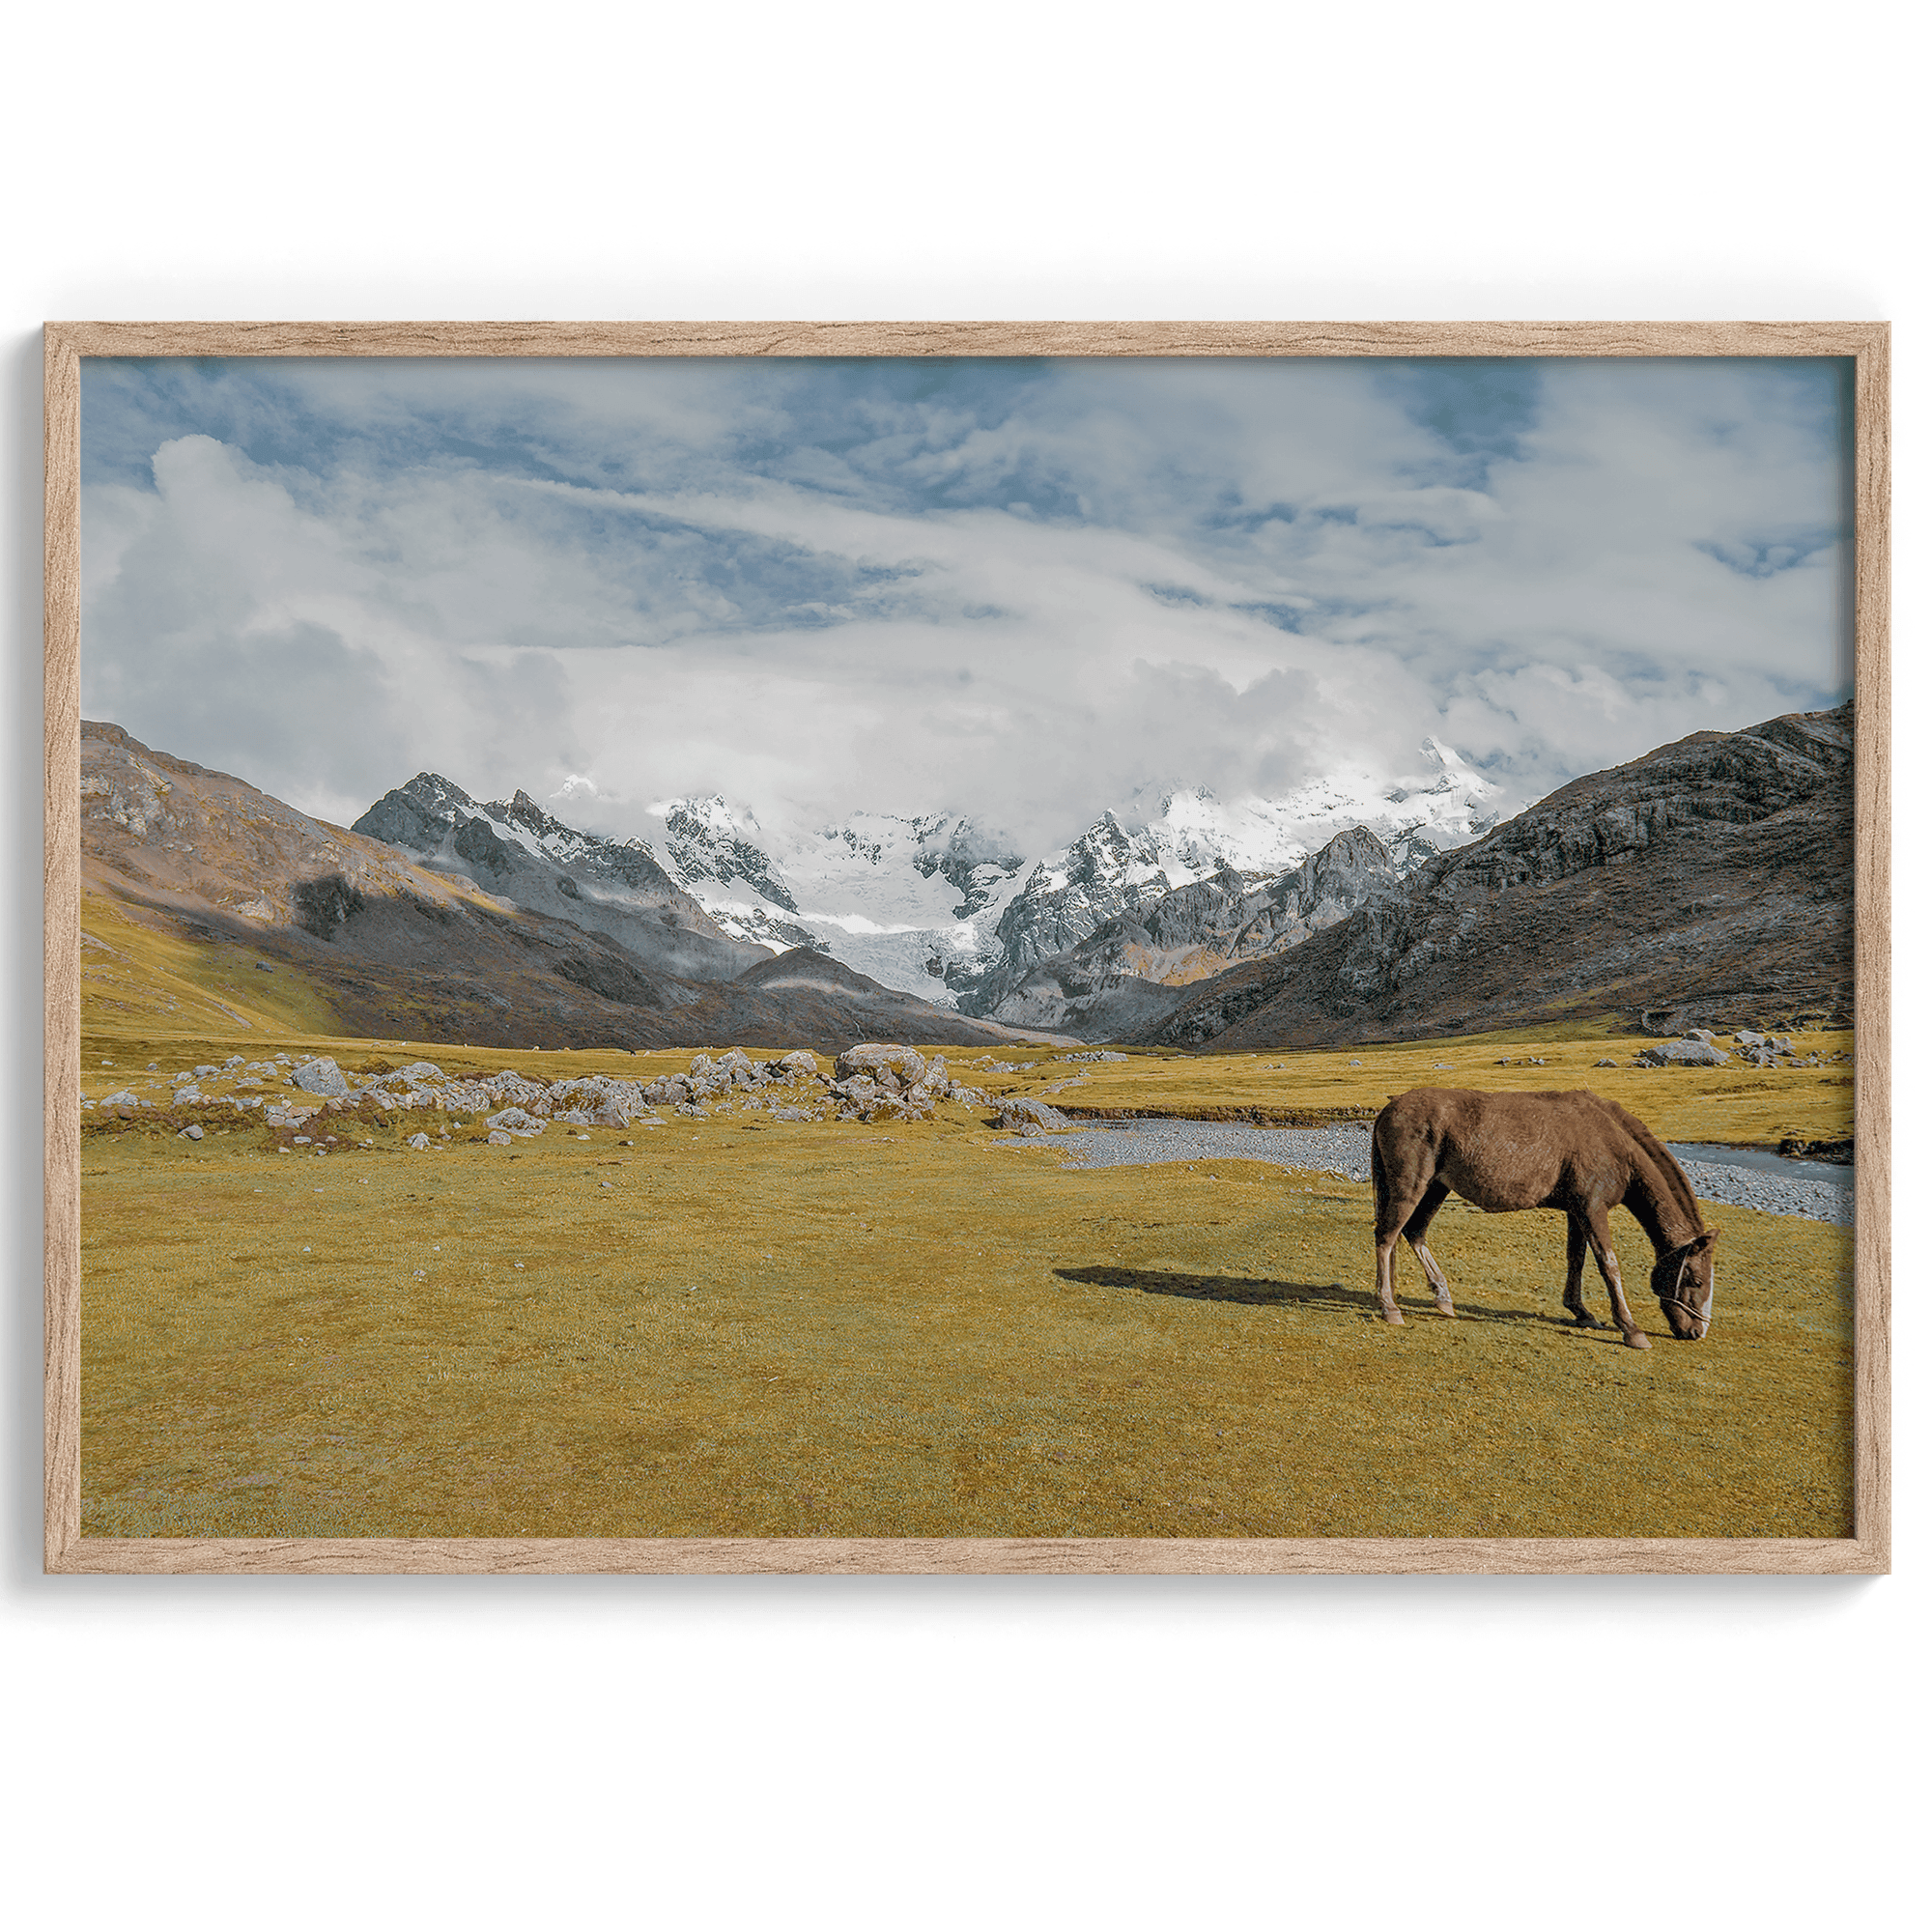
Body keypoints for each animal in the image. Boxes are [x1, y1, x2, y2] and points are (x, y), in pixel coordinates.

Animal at [1376, 1097, 1723, 1352]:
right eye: (1695, 1281)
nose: (1697, 1331)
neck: (1614, 1143)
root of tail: (1386, 1112)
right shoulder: (1592, 1209)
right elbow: (1608, 1264)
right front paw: (1631, 1329)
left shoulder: (1577, 1210)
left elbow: (1576, 1259)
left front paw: (1581, 1311)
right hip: (1411, 1186)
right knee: (1387, 1237)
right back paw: (1389, 1307)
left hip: (1436, 1188)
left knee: (1413, 1233)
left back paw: (1441, 1297)